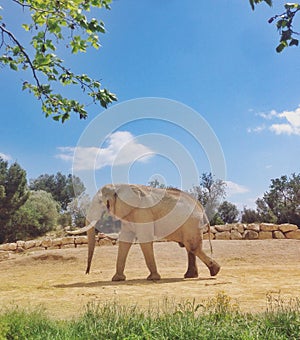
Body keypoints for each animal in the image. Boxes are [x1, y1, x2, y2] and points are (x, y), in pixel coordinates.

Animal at [77, 185, 219, 280]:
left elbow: (144, 239)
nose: (87, 272)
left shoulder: (142, 212)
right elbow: (125, 241)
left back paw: (214, 271)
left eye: (100, 202)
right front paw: (117, 279)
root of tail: (201, 207)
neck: (119, 185)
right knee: (189, 248)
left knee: (192, 247)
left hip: (191, 223)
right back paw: (191, 276)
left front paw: (153, 278)